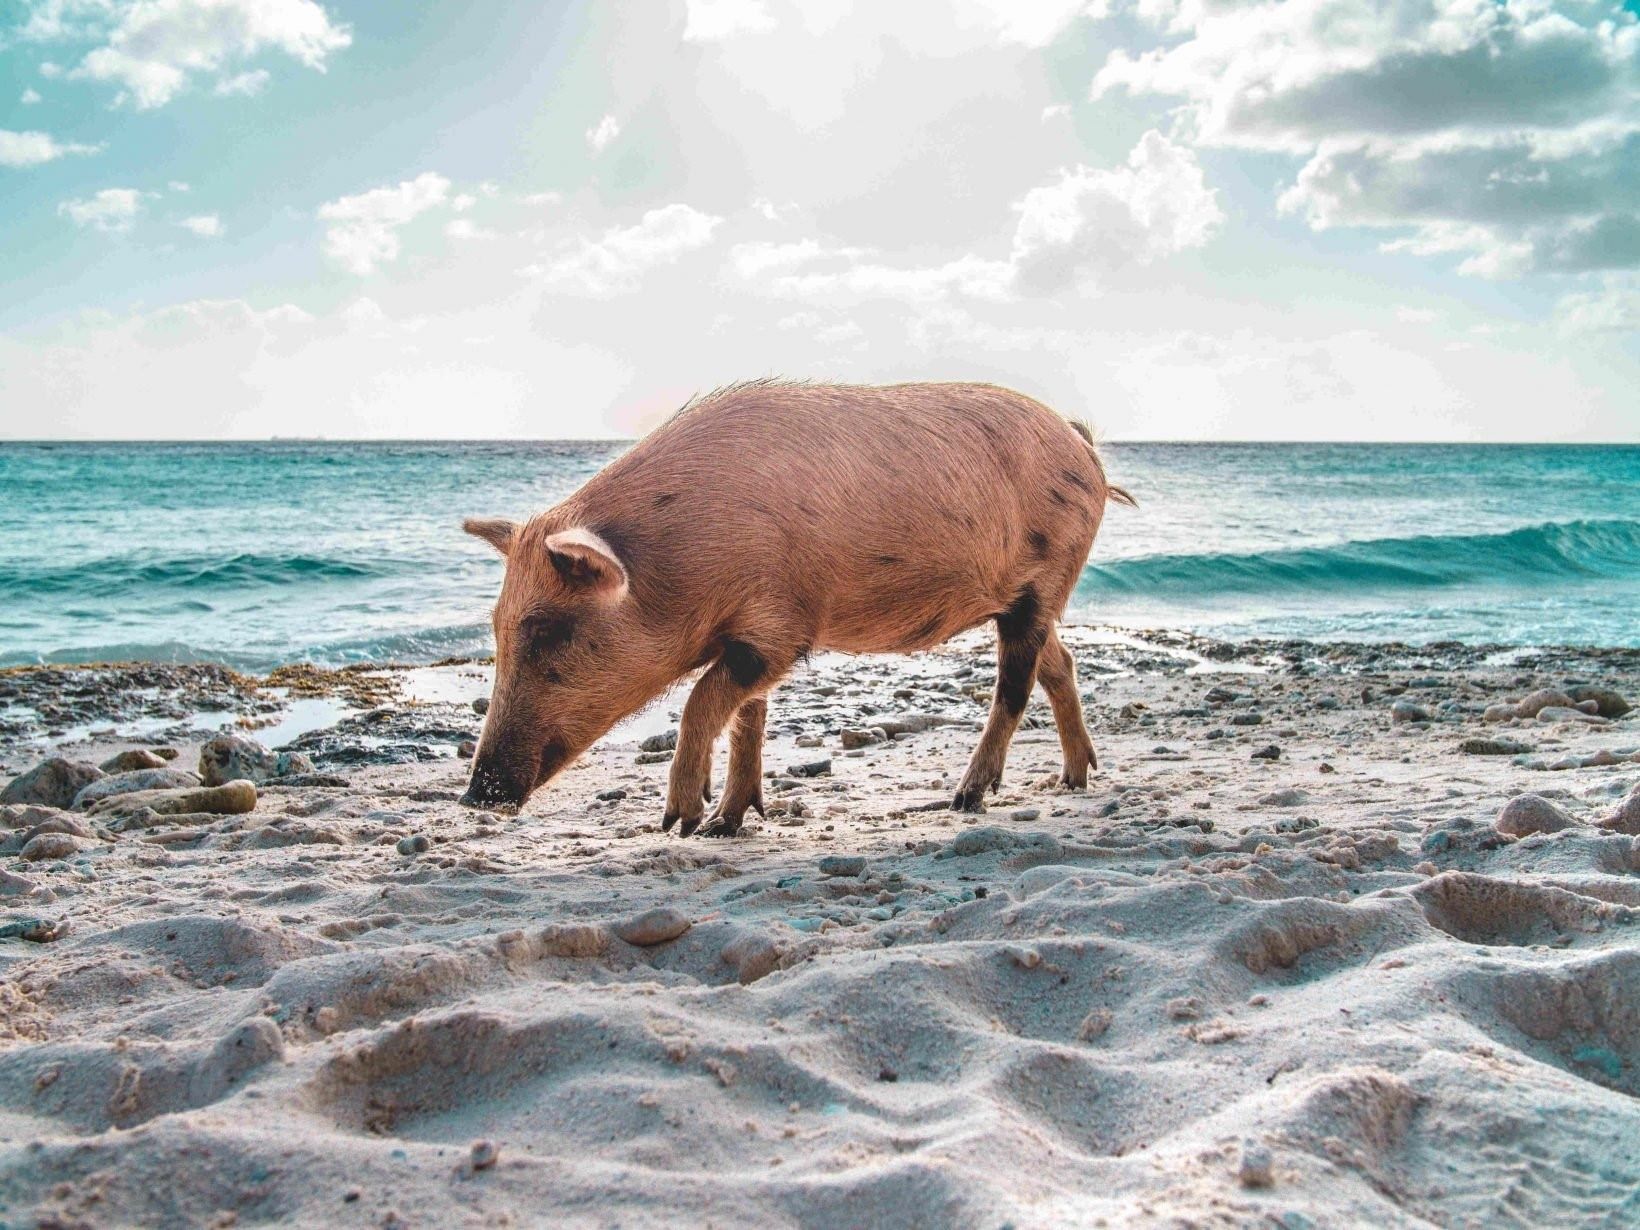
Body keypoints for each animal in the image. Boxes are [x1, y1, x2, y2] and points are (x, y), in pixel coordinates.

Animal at [462, 378, 1128, 839]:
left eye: (546, 630)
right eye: (496, 630)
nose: (476, 796)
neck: (680, 563)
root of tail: (1081, 441)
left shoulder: (781, 626)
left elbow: (705, 698)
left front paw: (679, 821)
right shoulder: (750, 636)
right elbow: (746, 715)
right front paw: (723, 826)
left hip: (1044, 577)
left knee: (1014, 684)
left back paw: (967, 798)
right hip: (1026, 599)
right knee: (1058, 663)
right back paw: (1074, 778)